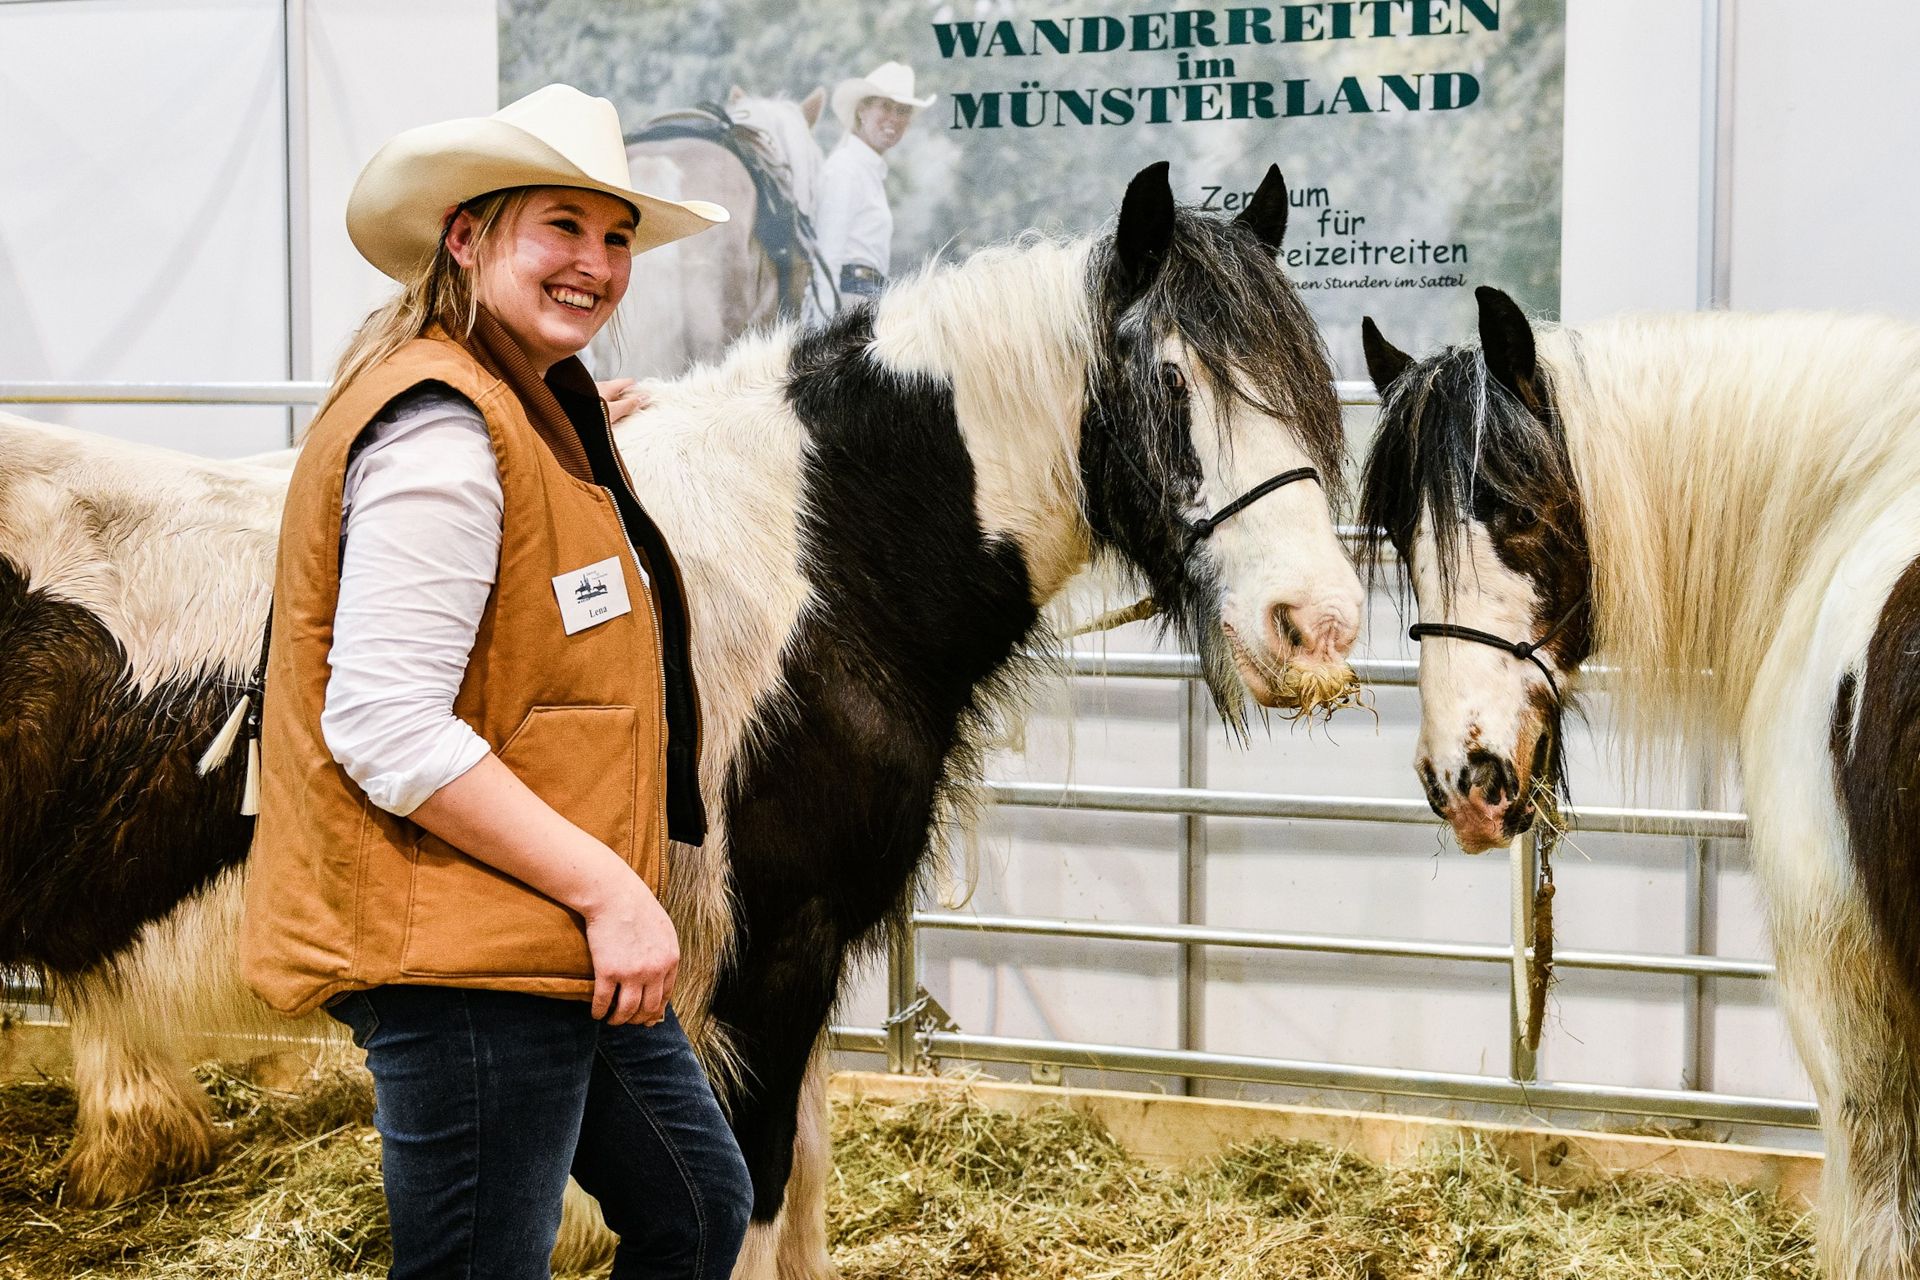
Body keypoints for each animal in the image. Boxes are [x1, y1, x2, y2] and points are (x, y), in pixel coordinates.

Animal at [0, 163, 1367, 1280]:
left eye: (1311, 386)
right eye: (1172, 379)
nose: (1318, 629)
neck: (813, 552)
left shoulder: (792, 970)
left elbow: (800, 1187)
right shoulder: (765, 968)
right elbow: (756, 1198)